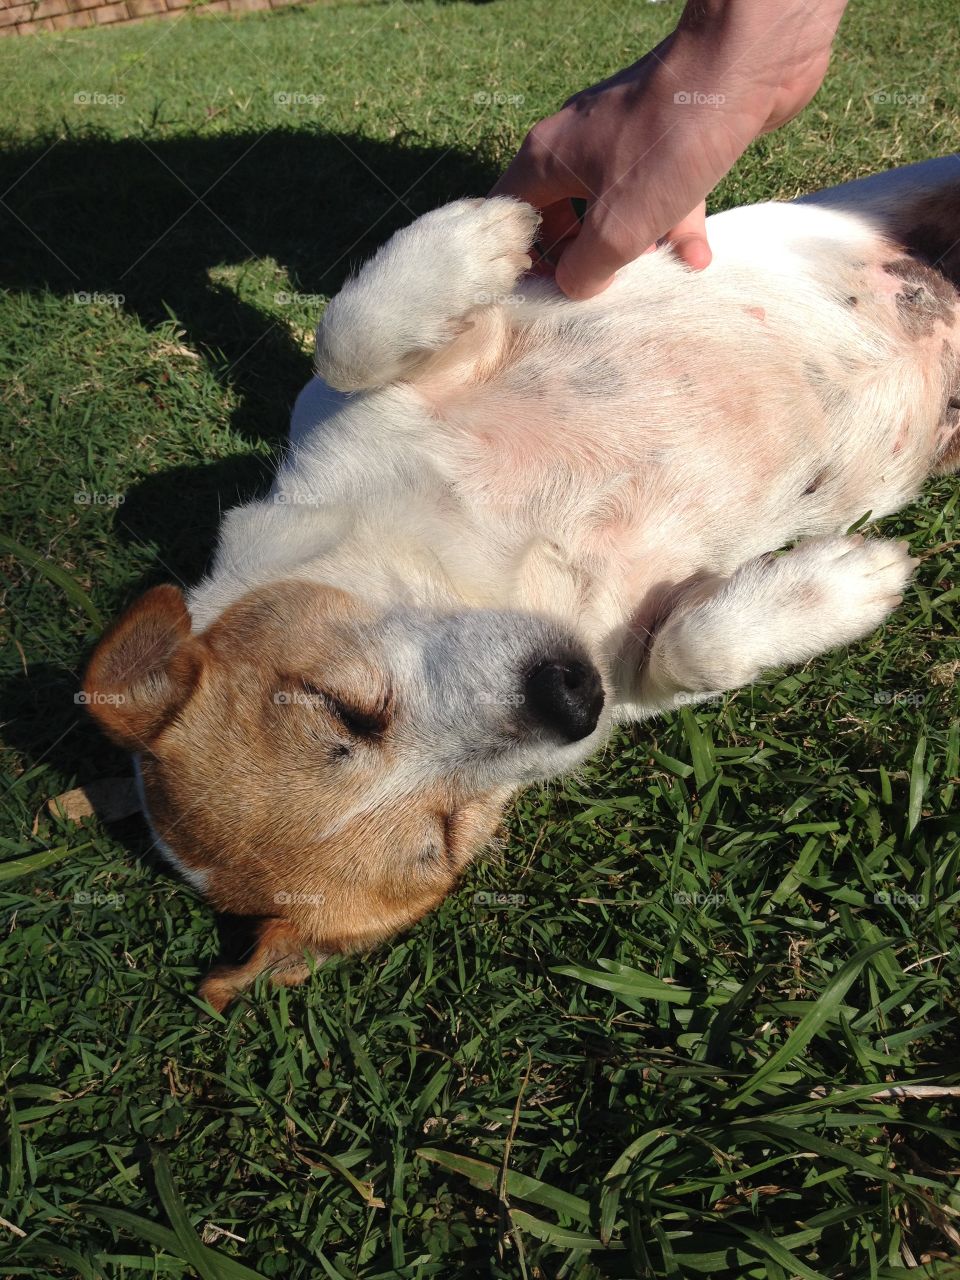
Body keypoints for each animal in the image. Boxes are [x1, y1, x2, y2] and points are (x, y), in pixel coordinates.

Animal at [84, 154, 960, 1008]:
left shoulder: (373, 395)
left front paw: (479, 235)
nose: (569, 695)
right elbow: (692, 645)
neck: (498, 565)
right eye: (448, 833)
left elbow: (345, 339)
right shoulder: (638, 673)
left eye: (342, 706)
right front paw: (847, 584)